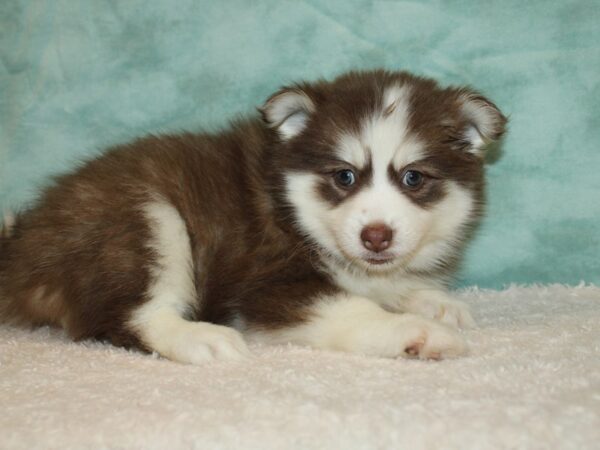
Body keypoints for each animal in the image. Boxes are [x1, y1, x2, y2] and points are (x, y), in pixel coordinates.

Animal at [0, 71, 506, 366]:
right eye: (344, 176)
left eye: (413, 178)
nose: (375, 236)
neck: (293, 210)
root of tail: (24, 242)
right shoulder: (264, 285)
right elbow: (353, 307)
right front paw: (417, 332)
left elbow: (395, 287)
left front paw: (435, 302)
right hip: (145, 219)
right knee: (127, 317)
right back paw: (200, 338)